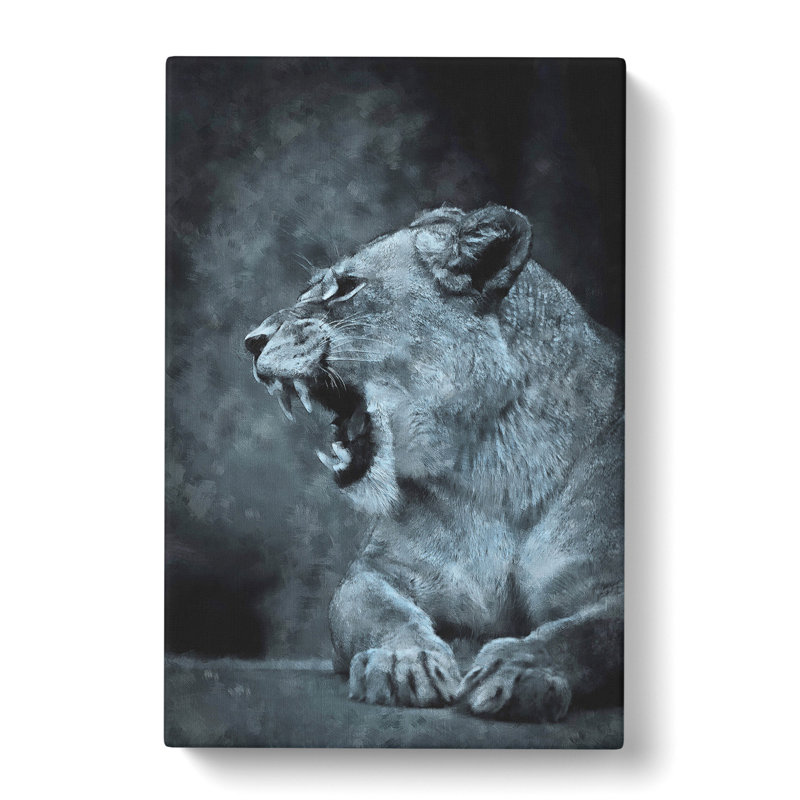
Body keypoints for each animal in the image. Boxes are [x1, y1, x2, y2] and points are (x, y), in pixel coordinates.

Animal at [245, 205, 623, 722]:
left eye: (346, 288)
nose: (250, 341)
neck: (500, 474)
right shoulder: (373, 573)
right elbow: (388, 615)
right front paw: (403, 663)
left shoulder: (611, 586)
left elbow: (585, 635)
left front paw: (520, 670)